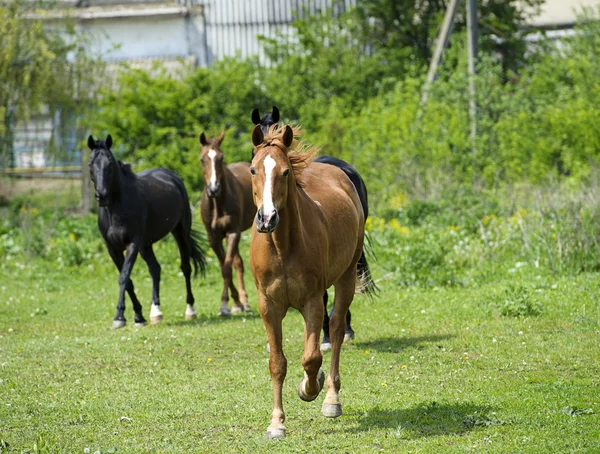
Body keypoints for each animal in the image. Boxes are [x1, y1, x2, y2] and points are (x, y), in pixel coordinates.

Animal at [85, 133, 205, 328]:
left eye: (109, 162)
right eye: (90, 163)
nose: (101, 195)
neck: (116, 208)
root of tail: (173, 177)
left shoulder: (132, 244)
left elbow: (124, 277)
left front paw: (119, 316)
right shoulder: (113, 249)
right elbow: (128, 281)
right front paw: (138, 316)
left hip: (180, 232)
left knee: (186, 268)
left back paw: (190, 310)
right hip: (146, 245)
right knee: (155, 269)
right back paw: (155, 312)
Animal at [198, 129, 252, 318]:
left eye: (221, 158)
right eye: (202, 159)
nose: (213, 189)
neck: (217, 203)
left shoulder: (233, 232)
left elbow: (228, 267)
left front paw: (225, 305)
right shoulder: (213, 238)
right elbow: (223, 266)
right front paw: (232, 303)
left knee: (239, 264)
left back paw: (245, 302)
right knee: (237, 262)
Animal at [247, 125, 370, 440]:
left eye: (285, 172)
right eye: (253, 170)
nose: (267, 218)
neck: (282, 247)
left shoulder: (313, 300)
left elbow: (312, 357)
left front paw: (309, 389)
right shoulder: (268, 306)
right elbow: (277, 363)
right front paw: (276, 423)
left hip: (346, 276)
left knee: (336, 329)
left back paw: (331, 399)